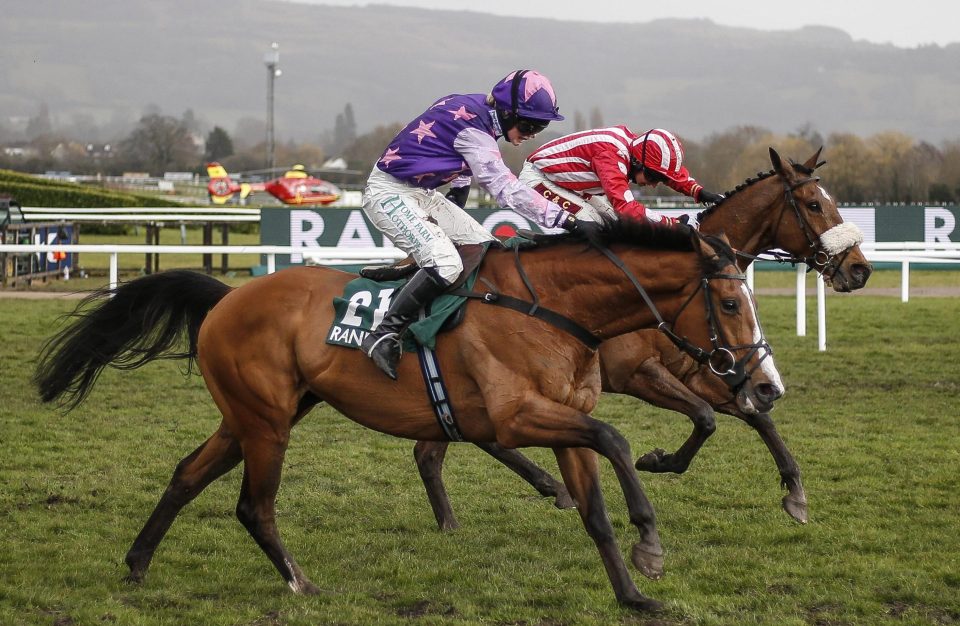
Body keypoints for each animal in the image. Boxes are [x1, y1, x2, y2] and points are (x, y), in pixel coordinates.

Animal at [37, 219, 784, 608]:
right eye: (728, 302)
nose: (761, 383)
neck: (552, 307)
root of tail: (227, 297)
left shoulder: (562, 419)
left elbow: (596, 502)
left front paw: (632, 594)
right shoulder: (518, 417)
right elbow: (617, 438)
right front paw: (650, 543)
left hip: (254, 415)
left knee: (187, 475)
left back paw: (137, 562)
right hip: (267, 423)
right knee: (253, 505)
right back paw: (300, 581)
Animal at [412, 146, 872, 528]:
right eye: (815, 204)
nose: (860, 269)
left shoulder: (699, 366)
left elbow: (754, 414)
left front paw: (795, 492)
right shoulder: (637, 372)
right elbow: (704, 416)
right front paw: (657, 461)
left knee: (453, 442)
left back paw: (534, 493)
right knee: (441, 447)